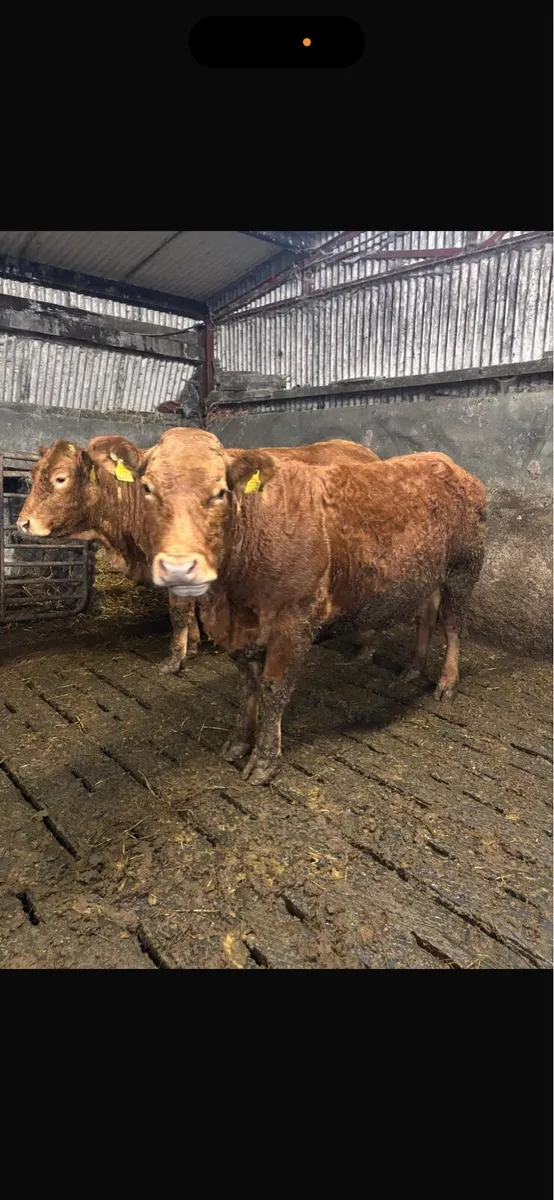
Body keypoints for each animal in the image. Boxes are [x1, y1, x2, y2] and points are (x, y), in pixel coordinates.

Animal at [17, 433, 381, 674]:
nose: (23, 523)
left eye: (60, 478)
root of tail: (364, 452)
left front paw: (173, 659)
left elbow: (178, 610)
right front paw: (192, 645)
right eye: (32, 476)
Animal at [116, 427, 486, 785]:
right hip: (428, 574)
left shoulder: (294, 620)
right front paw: (238, 741)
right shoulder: (241, 632)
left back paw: (447, 682)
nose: (179, 566)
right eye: (147, 488)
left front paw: (265, 759)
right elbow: (247, 684)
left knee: (453, 626)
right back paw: (413, 666)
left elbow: (274, 687)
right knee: (427, 614)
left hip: (464, 568)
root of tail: (447, 462)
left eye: (221, 492)